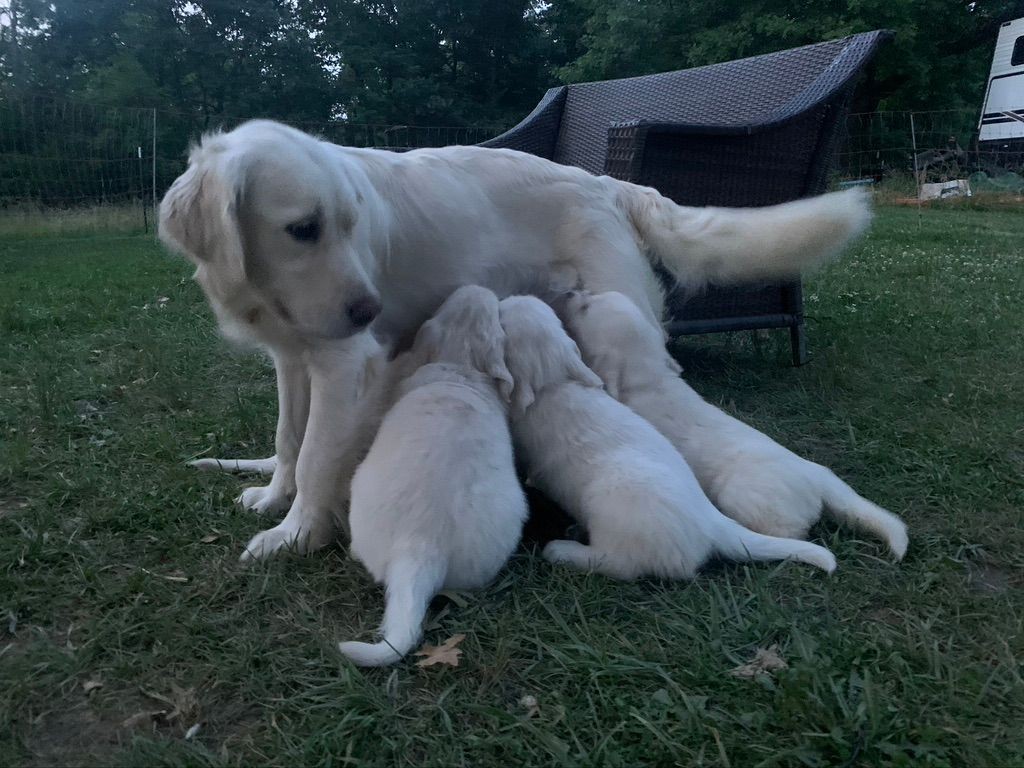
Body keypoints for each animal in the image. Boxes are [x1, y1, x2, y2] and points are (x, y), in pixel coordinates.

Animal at [557, 288, 909, 561]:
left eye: (586, 308)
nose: (570, 292)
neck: (649, 376)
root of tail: (818, 476)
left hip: (744, 497)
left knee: (792, 530)